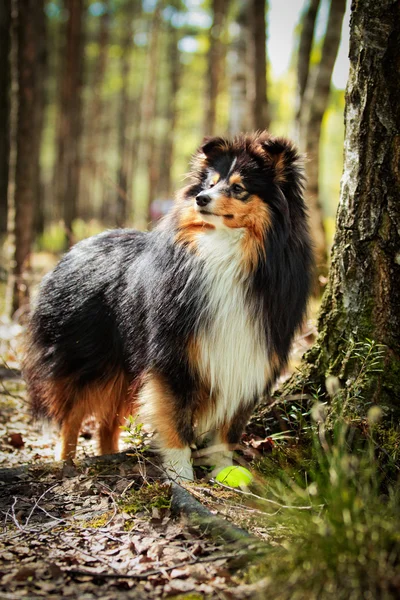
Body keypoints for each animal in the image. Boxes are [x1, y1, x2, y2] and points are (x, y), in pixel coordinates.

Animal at [23, 132, 314, 482]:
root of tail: (74, 249)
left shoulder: (249, 359)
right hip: (90, 360)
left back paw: (107, 456)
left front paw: (224, 472)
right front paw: (182, 476)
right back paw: (67, 463)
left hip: (123, 370)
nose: (201, 198)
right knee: (73, 416)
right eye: (210, 183)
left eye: (238, 188)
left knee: (107, 422)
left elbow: (228, 429)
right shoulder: (174, 356)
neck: (228, 252)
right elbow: (176, 421)